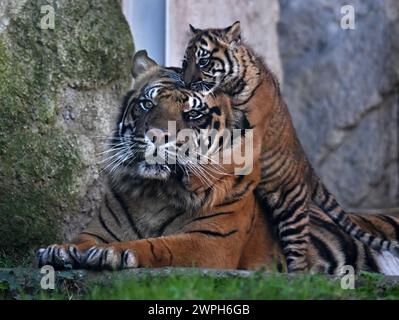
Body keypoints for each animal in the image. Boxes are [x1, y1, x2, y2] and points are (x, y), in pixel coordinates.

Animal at [183, 21, 399, 272]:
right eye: (185, 62)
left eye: (203, 61)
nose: (187, 83)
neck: (229, 88)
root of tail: (309, 169)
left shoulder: (252, 136)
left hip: (290, 208)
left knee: (300, 256)